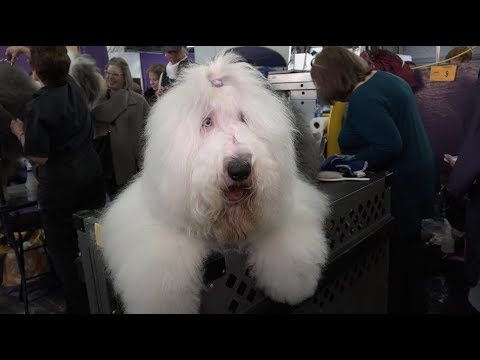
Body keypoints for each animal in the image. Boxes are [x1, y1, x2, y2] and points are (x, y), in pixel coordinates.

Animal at [101, 52, 330, 312]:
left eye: (244, 118)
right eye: (207, 122)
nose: (240, 168)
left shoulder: (285, 203)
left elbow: (287, 241)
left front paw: (293, 286)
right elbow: (163, 266)